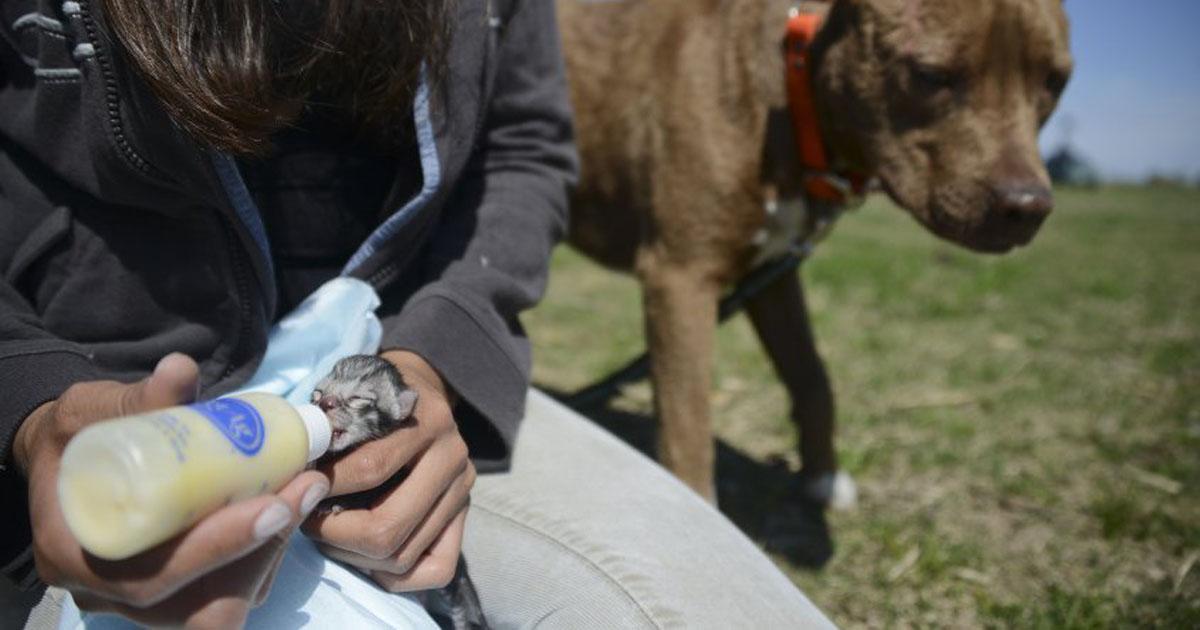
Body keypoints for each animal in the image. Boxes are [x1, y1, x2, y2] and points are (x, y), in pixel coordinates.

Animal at [556, 0, 1075, 501]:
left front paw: (822, 475)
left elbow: (811, 373)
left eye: (1056, 82)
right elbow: (688, 424)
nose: (1028, 207)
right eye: (930, 75)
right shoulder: (681, 277)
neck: (792, 87)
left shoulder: (774, 275)